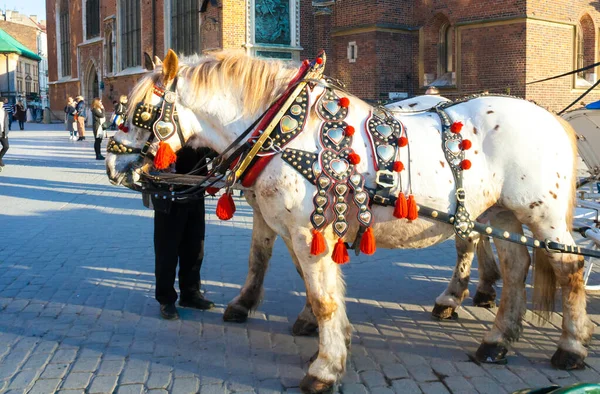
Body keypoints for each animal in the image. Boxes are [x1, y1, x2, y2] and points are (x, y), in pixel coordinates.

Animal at [105, 50, 592, 392]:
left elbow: (321, 296)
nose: (113, 166)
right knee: (515, 267)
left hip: (543, 217)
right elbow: (300, 279)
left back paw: (569, 347)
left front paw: (324, 368)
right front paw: (329, 342)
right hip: (501, 213)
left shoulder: (306, 229)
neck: (280, 129)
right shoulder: (294, 227)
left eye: (140, 114)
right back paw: (496, 342)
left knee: (570, 269)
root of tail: (552, 117)